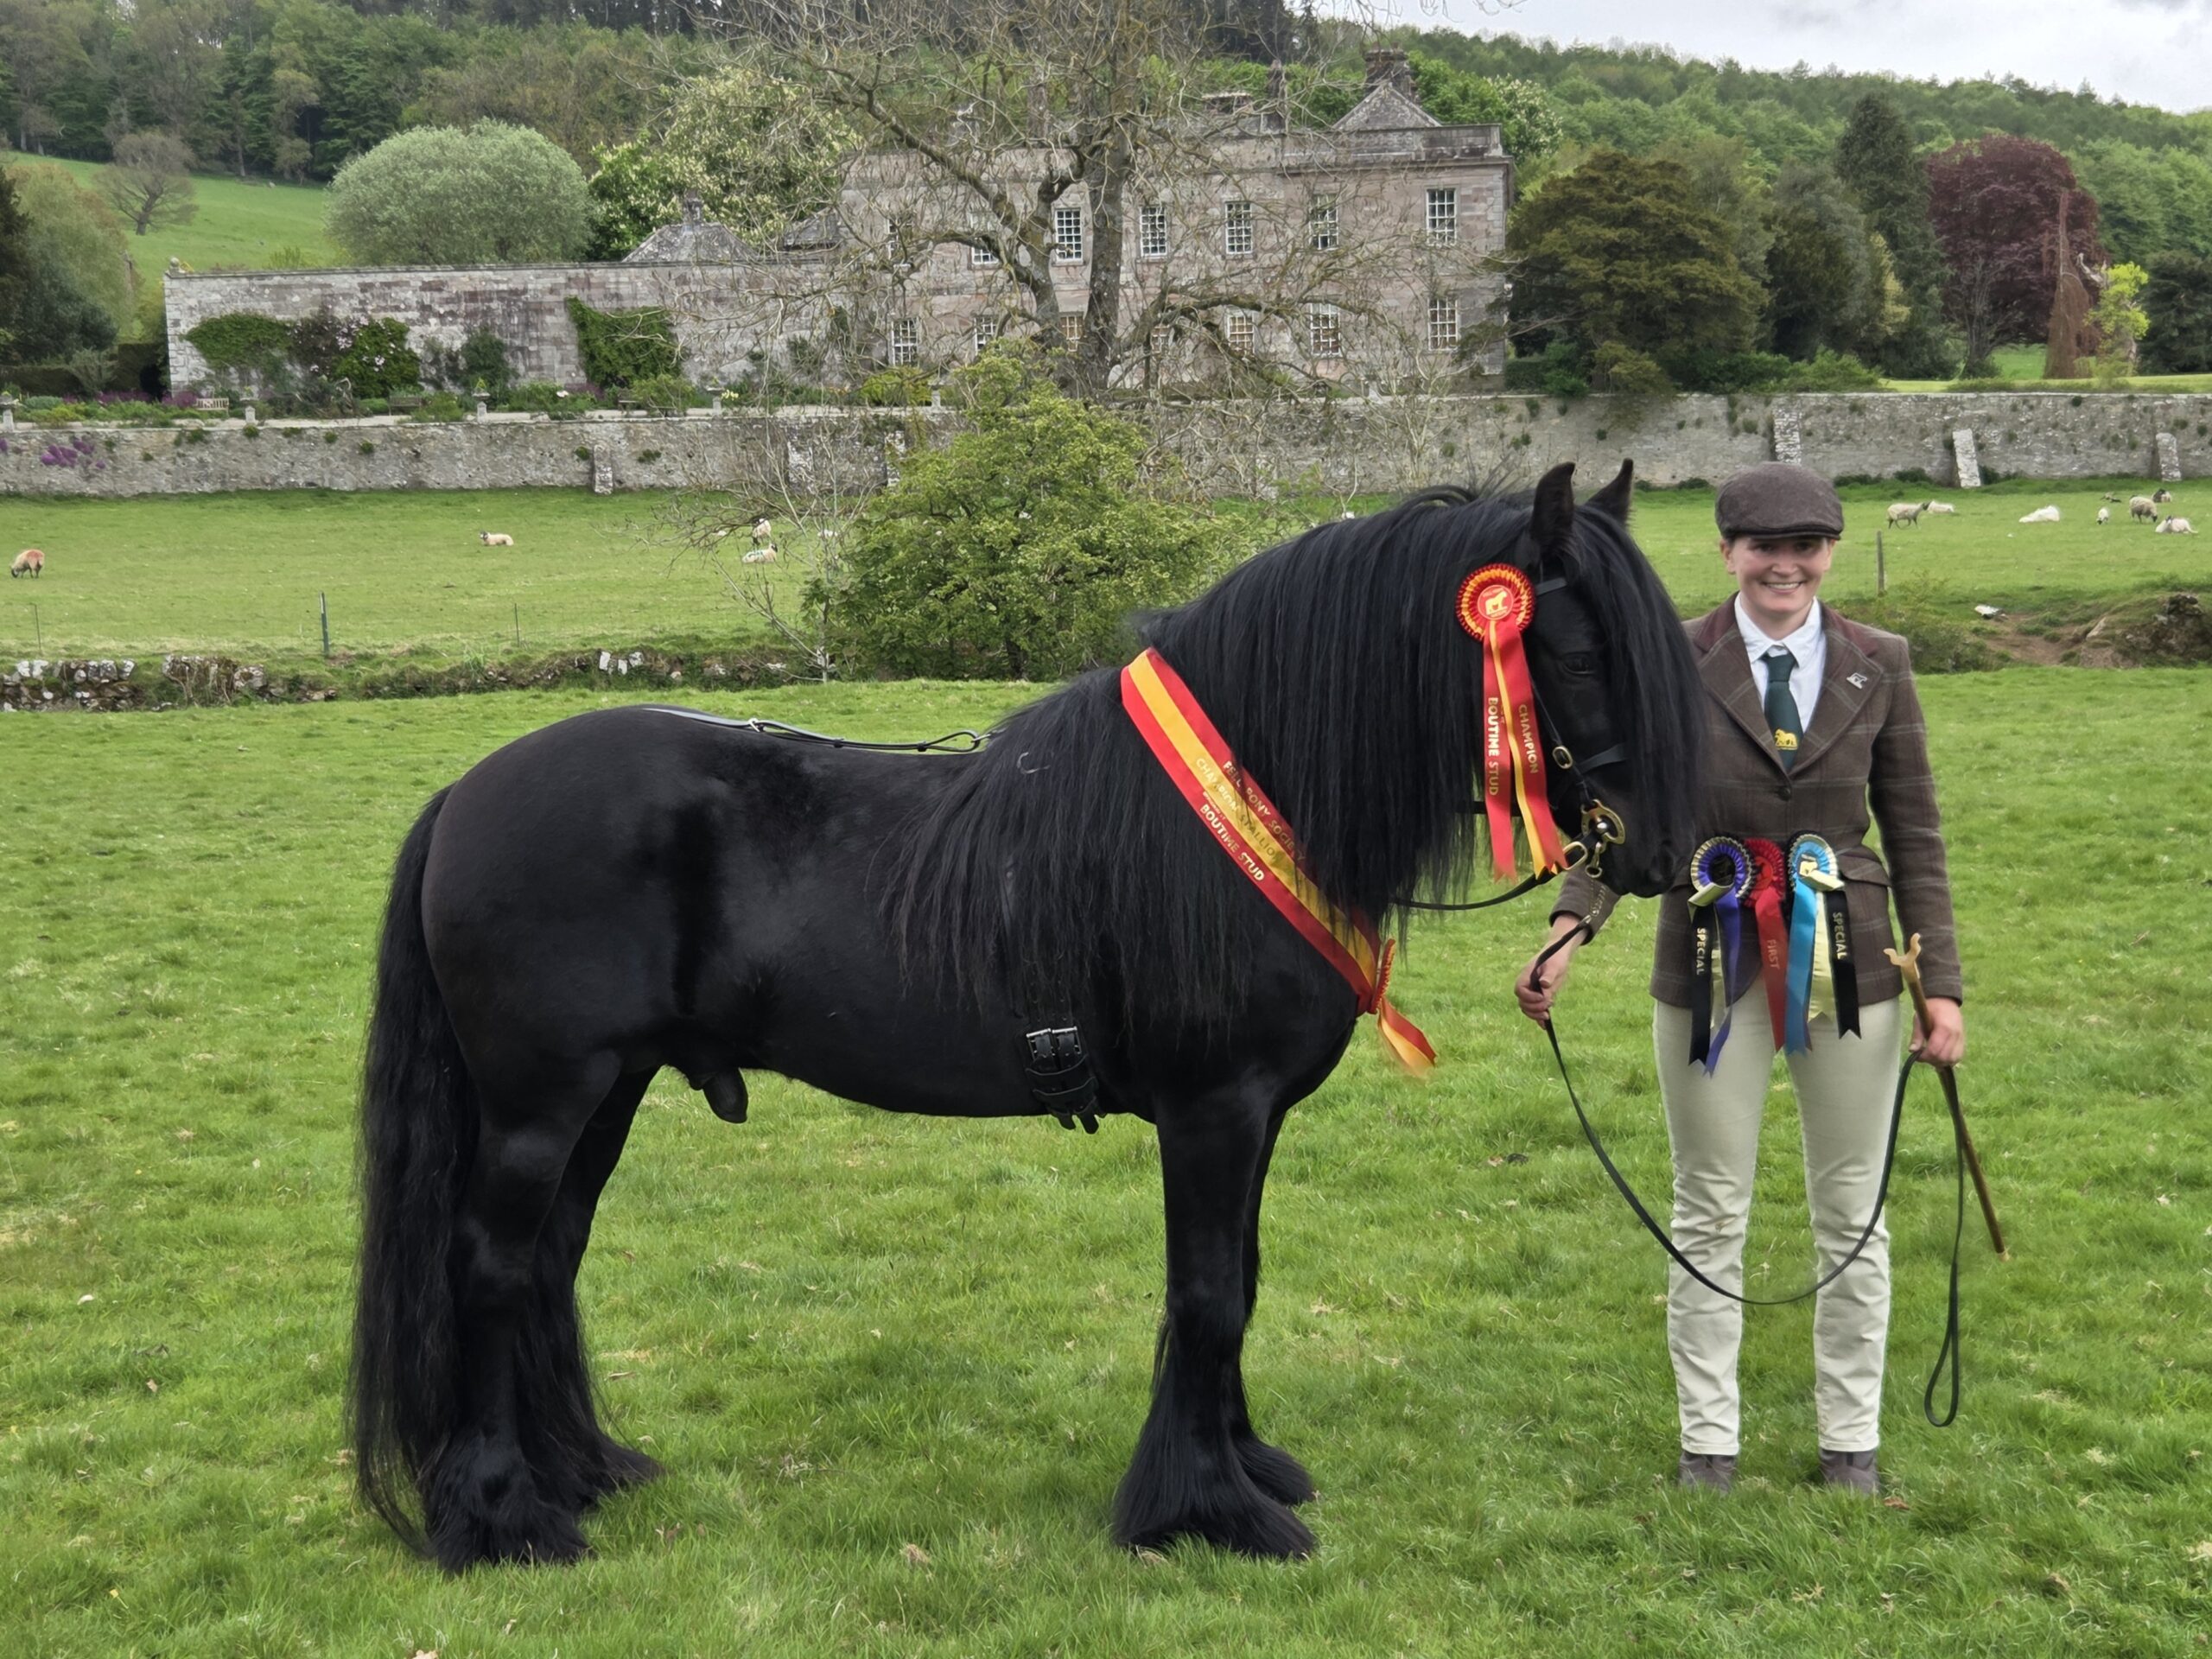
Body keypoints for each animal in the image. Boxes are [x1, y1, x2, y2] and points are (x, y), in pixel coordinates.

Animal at [349, 461, 1703, 1573]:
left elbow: (1240, 1279)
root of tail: (465, 794)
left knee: (547, 1264)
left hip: (608, 1096)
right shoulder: (1213, 1112)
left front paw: (1245, 1467)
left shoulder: (1252, 1120)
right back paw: (503, 1518)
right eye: (1583, 657)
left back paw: (577, 1473)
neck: (1241, 802)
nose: (1663, 859)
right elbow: (1207, 1295)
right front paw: (1205, 1510)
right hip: (542, 1105)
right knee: (491, 1271)